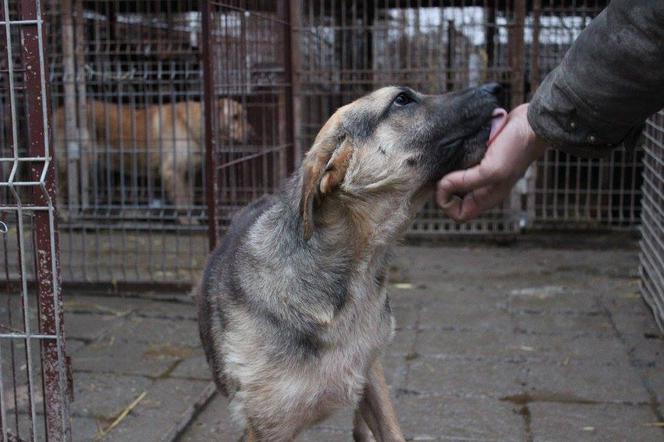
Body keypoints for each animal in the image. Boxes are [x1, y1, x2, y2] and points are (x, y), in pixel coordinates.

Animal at [53, 98, 250, 223]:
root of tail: (58, 112)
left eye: (244, 116)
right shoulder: (172, 172)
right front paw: (187, 221)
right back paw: (64, 216)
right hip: (76, 162)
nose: (252, 133)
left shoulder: (187, 174)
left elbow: (188, 199)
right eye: (235, 117)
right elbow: (181, 201)